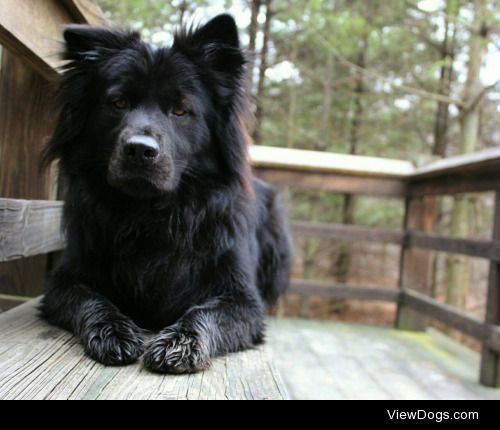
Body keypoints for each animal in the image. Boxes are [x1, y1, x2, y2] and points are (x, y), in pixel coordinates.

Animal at [42, 14, 292, 372]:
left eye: (180, 110)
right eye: (118, 103)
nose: (140, 150)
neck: (150, 215)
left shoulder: (242, 299)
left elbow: (206, 312)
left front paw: (180, 344)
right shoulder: (63, 282)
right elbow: (89, 299)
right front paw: (114, 332)